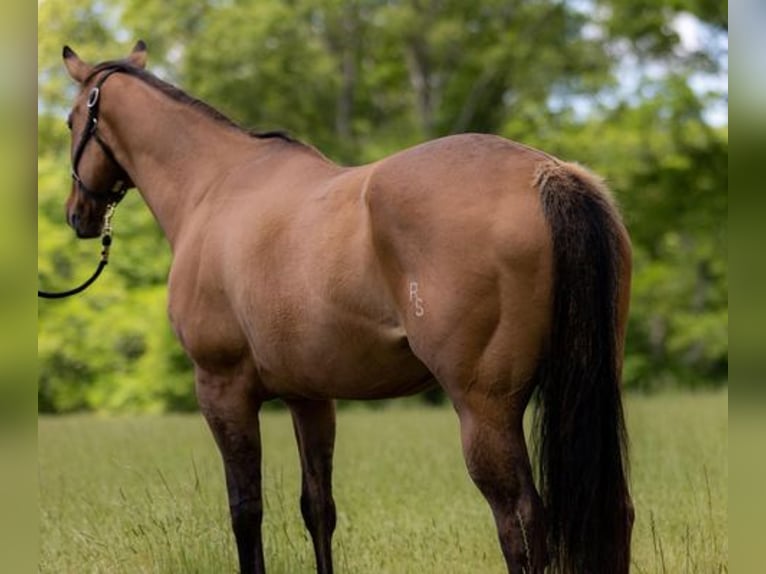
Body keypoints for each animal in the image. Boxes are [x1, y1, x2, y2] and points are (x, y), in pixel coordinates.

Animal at [58, 41, 636, 574]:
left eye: (69, 121)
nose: (77, 215)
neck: (216, 187)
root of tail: (548, 174)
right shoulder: (310, 397)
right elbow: (318, 508)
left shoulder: (222, 389)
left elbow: (246, 511)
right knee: (614, 514)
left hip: (485, 408)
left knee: (520, 522)